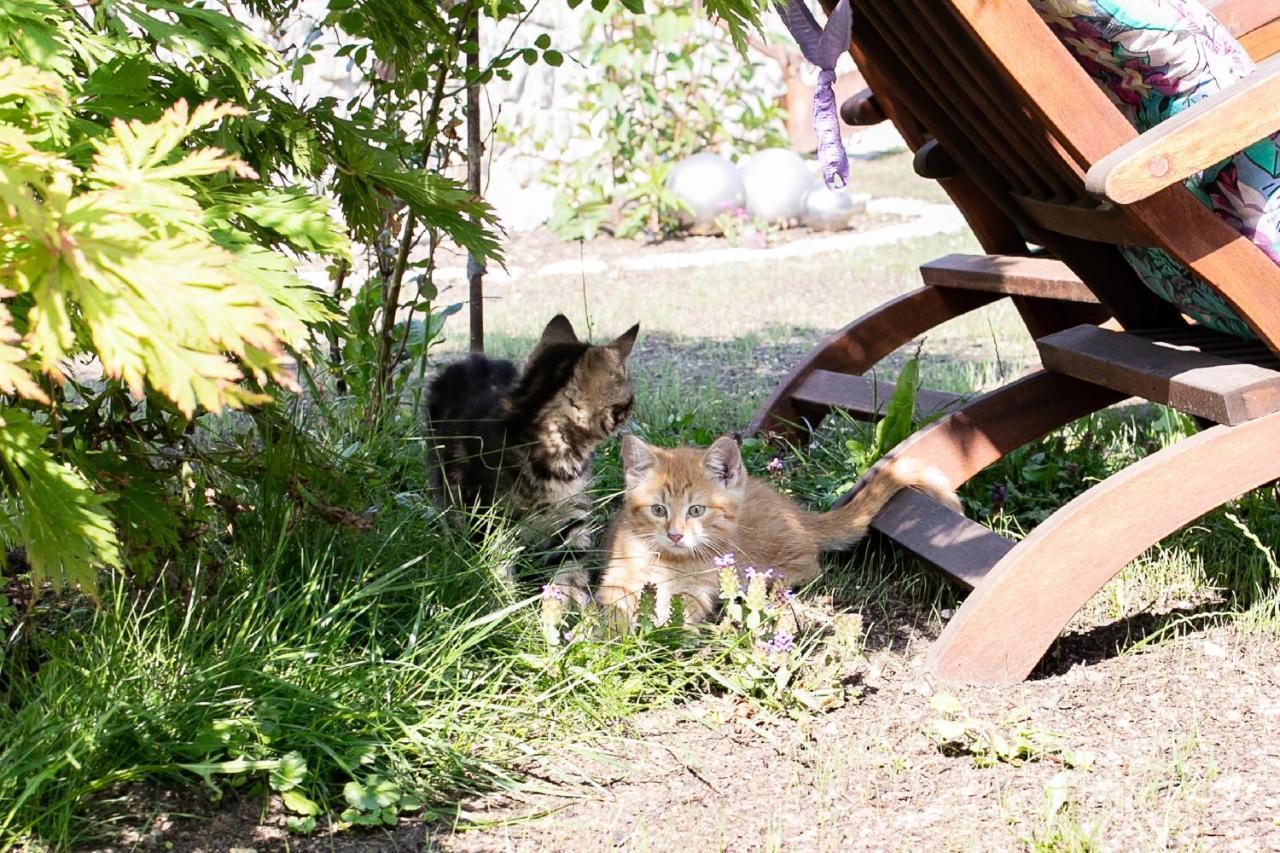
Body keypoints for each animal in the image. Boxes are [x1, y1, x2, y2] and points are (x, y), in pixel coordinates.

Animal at [424, 312, 640, 591]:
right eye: (629, 400)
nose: (634, 408)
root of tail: (474, 358)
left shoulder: (572, 518)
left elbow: (570, 571)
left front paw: (564, 600)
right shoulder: (487, 517)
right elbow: (495, 567)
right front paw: (504, 597)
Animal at [599, 432, 962, 625]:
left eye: (696, 510)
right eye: (658, 510)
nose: (675, 534)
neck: (669, 562)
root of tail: (796, 512)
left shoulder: (699, 591)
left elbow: (681, 609)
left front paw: (660, 630)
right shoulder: (616, 579)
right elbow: (615, 608)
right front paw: (618, 633)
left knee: (810, 565)